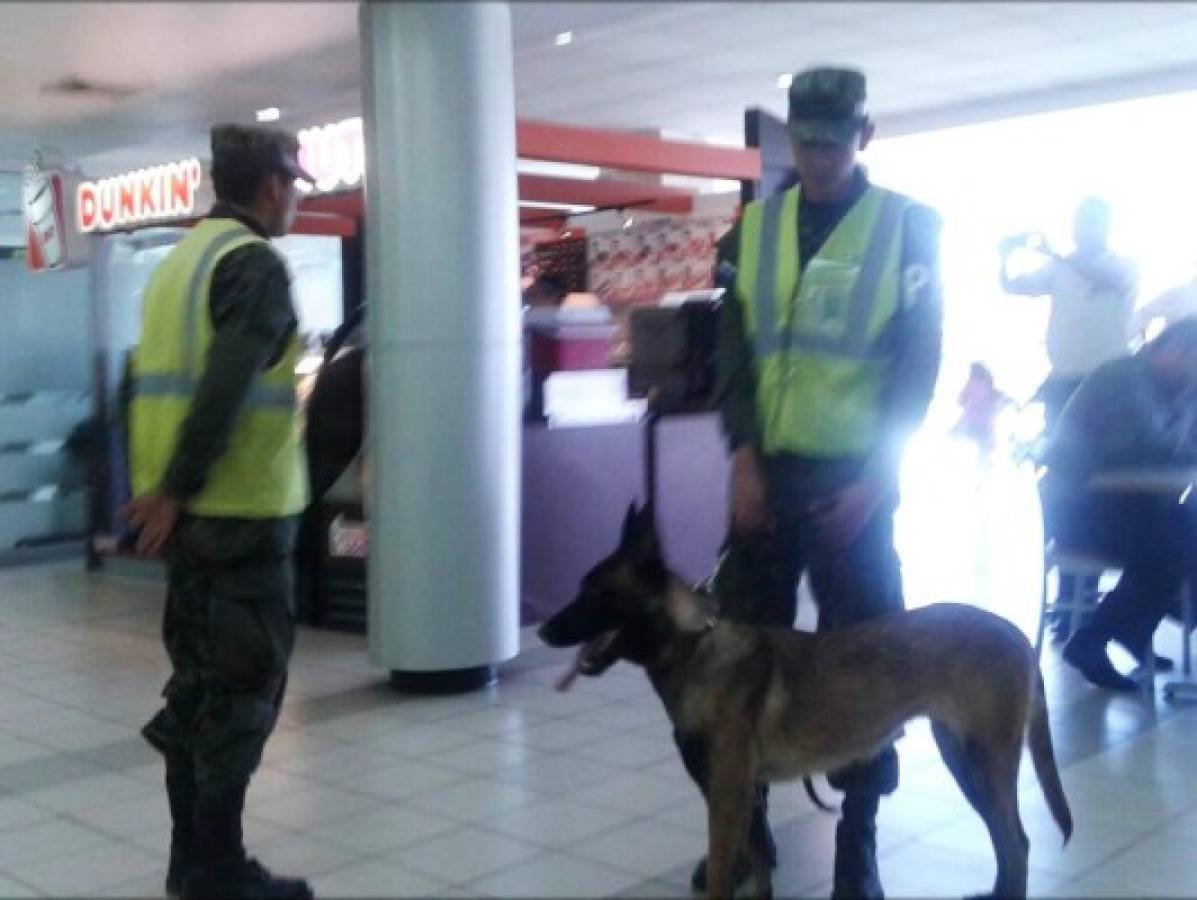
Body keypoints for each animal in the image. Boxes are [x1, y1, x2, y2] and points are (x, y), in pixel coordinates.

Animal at [538, 507, 1072, 899]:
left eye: (598, 594)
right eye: (581, 589)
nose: (542, 631)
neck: (695, 646)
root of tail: (1016, 634)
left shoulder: (727, 800)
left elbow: (721, 882)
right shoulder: (746, 798)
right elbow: (760, 870)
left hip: (984, 762)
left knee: (1016, 843)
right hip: (963, 760)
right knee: (1009, 841)